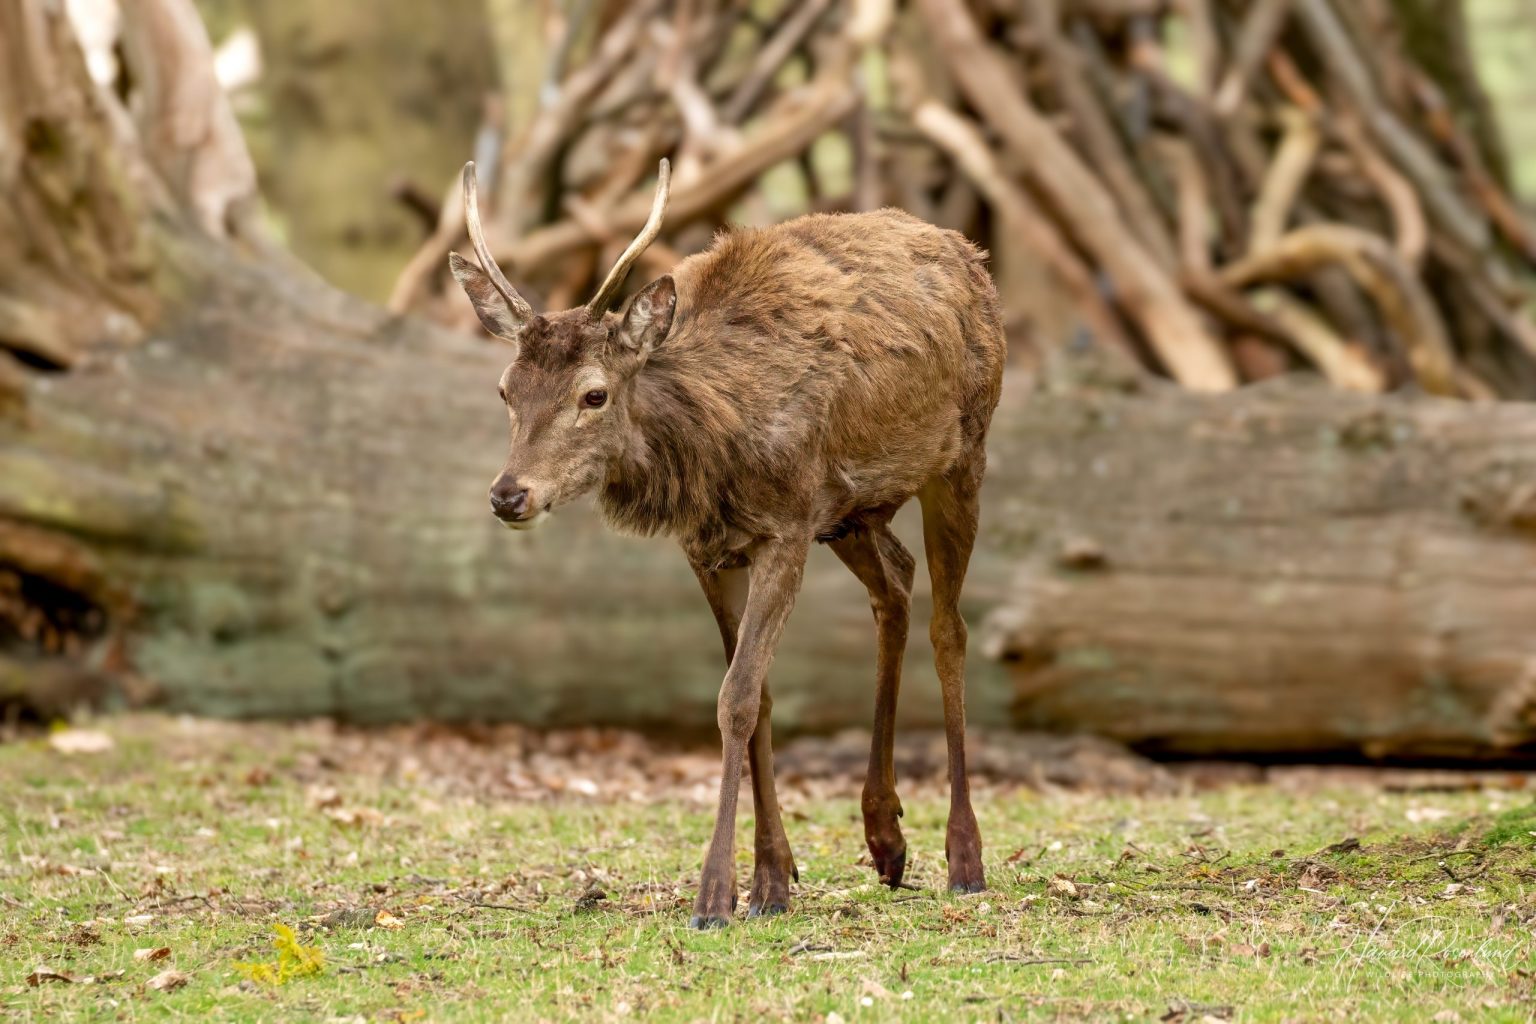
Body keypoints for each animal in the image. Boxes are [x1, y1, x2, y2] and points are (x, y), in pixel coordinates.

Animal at [449, 158, 1005, 928]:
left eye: (594, 394)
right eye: (506, 390)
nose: (509, 494)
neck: (715, 453)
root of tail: (970, 253)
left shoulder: (787, 528)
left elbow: (735, 697)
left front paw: (714, 894)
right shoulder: (710, 549)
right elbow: (760, 696)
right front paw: (771, 880)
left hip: (961, 456)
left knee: (948, 628)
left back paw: (964, 857)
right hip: (853, 512)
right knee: (895, 583)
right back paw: (885, 837)